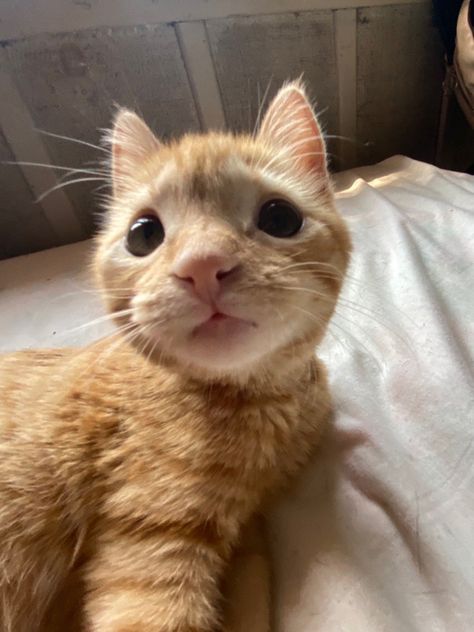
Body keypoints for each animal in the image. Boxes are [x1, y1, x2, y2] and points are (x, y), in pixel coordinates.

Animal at [0, 81, 348, 628]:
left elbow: (254, 587)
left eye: (280, 217)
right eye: (144, 233)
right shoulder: (150, 542)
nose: (202, 265)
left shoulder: (248, 533)